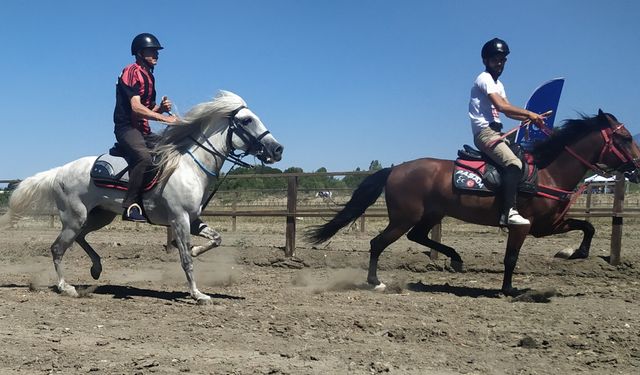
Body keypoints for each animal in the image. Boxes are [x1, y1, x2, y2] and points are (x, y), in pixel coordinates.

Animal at [0, 91, 284, 306]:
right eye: (246, 121)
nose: (278, 149)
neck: (189, 167)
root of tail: (59, 171)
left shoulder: (193, 220)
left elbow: (215, 240)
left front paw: (196, 251)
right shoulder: (179, 220)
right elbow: (186, 260)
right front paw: (198, 294)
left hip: (100, 216)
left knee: (80, 239)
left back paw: (96, 269)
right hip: (74, 217)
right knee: (58, 248)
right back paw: (65, 287)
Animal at [306, 110, 640, 298]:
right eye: (624, 137)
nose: (637, 168)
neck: (548, 171)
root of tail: (396, 168)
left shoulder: (548, 225)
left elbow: (588, 226)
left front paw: (573, 253)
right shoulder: (524, 227)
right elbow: (510, 259)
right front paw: (509, 290)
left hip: (430, 214)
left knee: (418, 236)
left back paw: (455, 258)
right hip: (403, 217)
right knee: (378, 243)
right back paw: (375, 282)